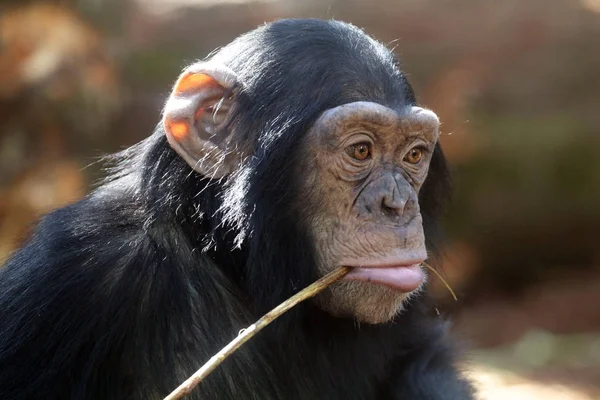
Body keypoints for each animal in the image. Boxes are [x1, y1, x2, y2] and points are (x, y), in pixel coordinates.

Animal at [0, 18, 476, 400]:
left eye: (414, 155)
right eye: (360, 150)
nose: (397, 204)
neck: (230, 260)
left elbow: (420, 356)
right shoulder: (77, 271)